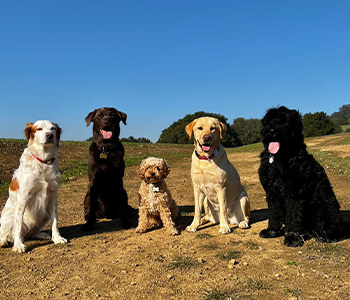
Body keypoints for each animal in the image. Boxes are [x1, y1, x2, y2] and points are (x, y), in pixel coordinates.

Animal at [0, 120, 66, 252]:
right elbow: (18, 224)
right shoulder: (23, 198)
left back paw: (42, 234)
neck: (43, 161)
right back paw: (4, 241)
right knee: (7, 233)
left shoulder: (52, 196)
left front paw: (57, 238)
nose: (49, 135)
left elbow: (55, 221)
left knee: (31, 233)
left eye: (53, 129)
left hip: (44, 213)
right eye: (39, 129)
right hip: (8, 216)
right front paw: (18, 245)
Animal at [260, 106, 344, 247]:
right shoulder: (272, 192)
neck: (281, 158)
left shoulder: (294, 193)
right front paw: (272, 231)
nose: (271, 131)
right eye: (269, 120)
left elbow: (294, 217)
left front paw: (292, 238)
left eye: (284, 120)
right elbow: (274, 214)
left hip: (321, 207)